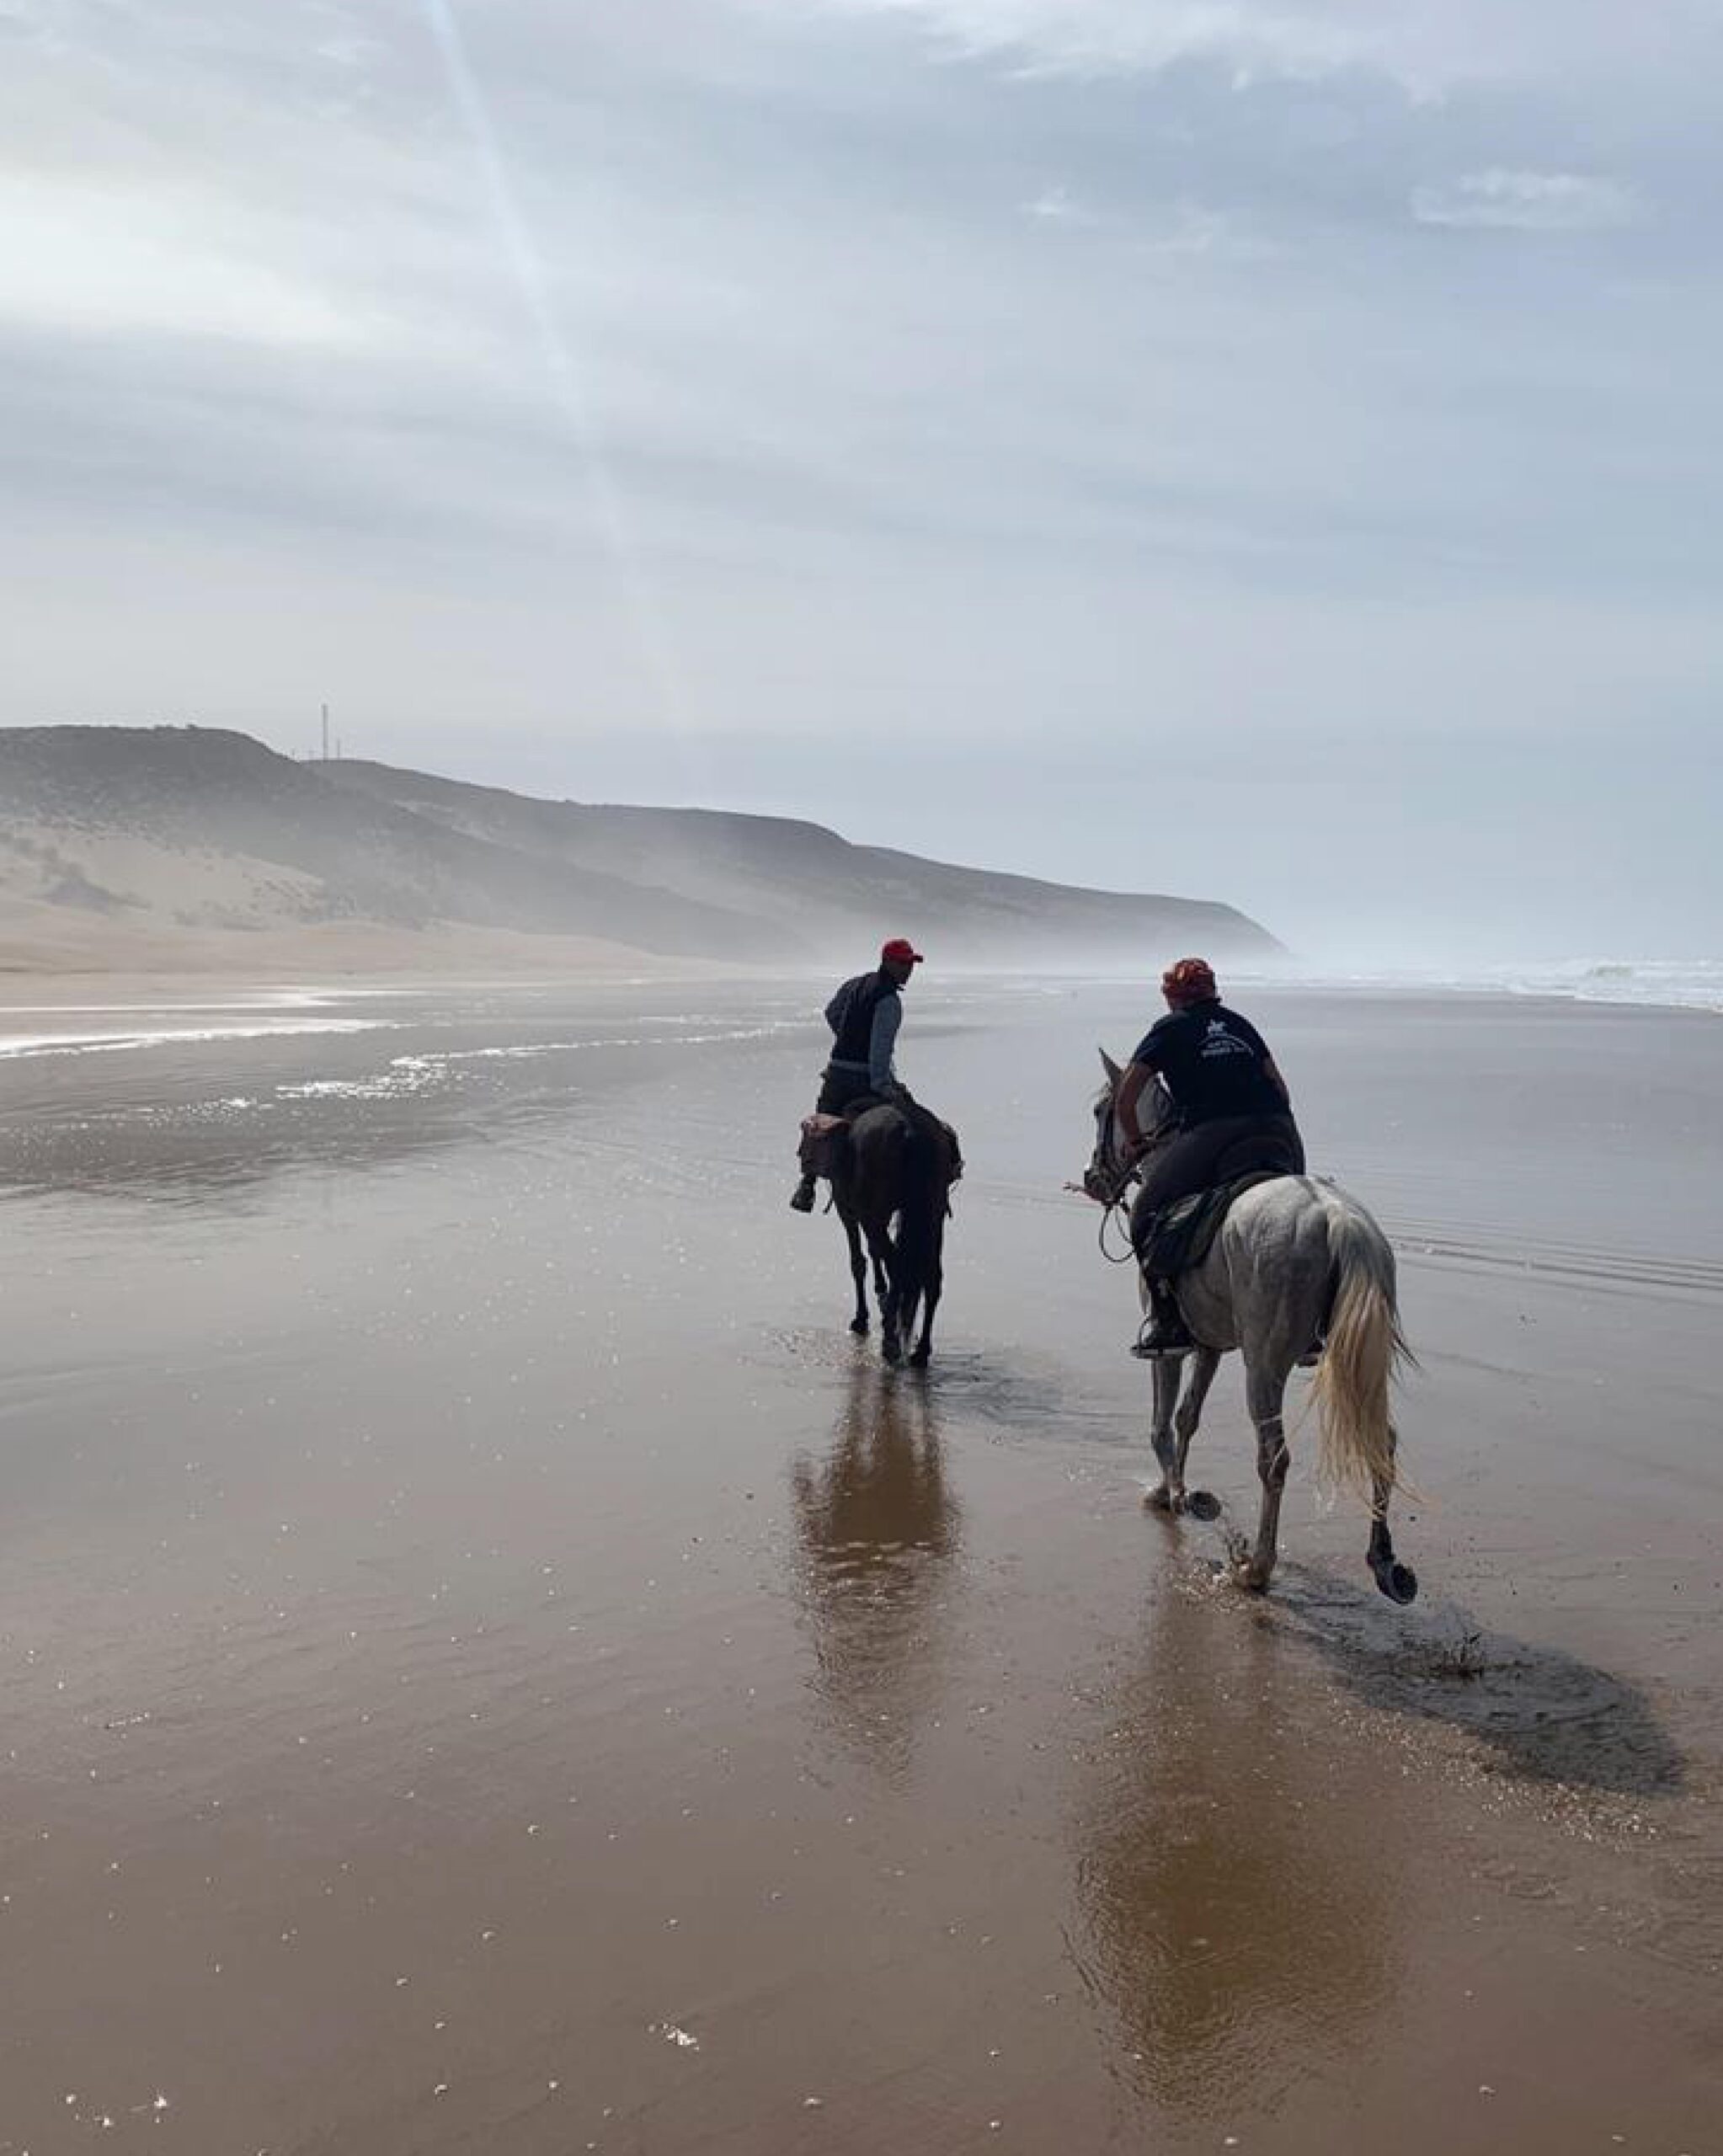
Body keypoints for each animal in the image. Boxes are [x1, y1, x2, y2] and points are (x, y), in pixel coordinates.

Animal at [824, 1112, 957, 1362]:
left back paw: (891, 1339)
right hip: (933, 1218)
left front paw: (861, 1318)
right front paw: (880, 1294)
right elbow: (875, 1253)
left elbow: (859, 1261)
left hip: (873, 1212)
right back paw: (921, 1350)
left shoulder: (846, 1208)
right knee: (930, 1277)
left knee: (896, 1264)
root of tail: (910, 1133)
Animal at [1091, 1048, 1414, 1604]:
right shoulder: (1210, 1346)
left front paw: (1173, 1494)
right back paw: (1384, 1562)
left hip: (1264, 1364)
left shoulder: (1173, 1350)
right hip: (1354, 1360)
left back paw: (1255, 1568)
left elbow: (1161, 1421)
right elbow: (1187, 1417)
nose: (1093, 1179)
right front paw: (1178, 1491)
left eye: (1099, 1113)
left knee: (1273, 1458)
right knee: (1382, 1441)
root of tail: (1338, 1220)